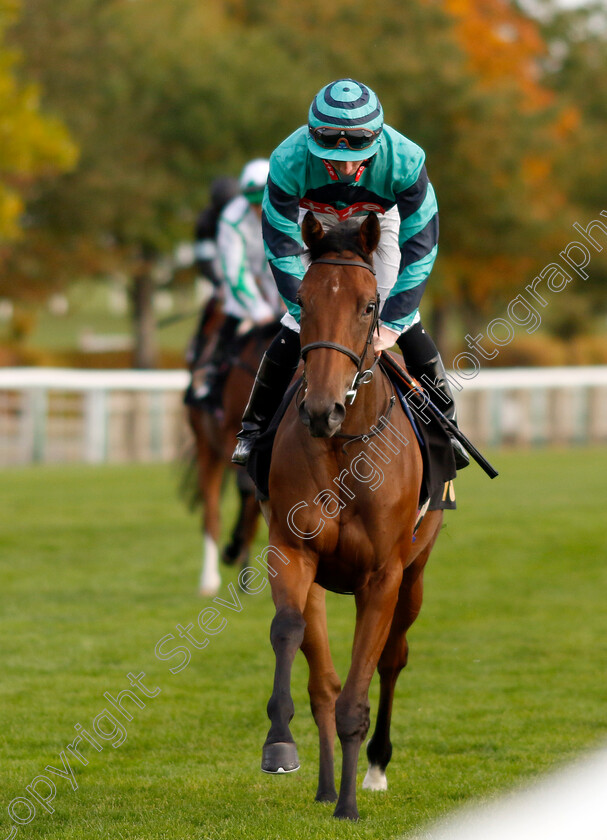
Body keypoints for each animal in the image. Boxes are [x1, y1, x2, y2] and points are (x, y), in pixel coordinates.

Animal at [188, 318, 280, 592]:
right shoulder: (233, 436)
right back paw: (209, 579)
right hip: (206, 444)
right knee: (211, 512)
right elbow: (246, 489)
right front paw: (234, 548)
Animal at [258, 212, 444, 820]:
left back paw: (375, 770)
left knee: (392, 659)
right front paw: (279, 745)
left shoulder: (382, 575)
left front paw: (349, 806)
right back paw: (324, 784)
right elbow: (291, 635)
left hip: (416, 573)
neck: (344, 448)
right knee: (324, 681)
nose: (322, 409)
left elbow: (360, 691)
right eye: (304, 301)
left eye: (368, 306)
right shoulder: (292, 551)